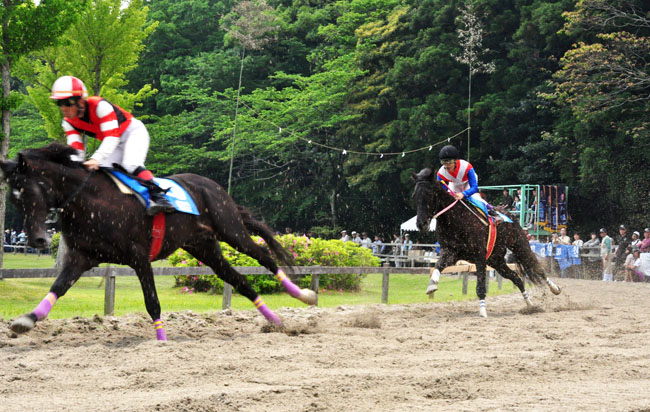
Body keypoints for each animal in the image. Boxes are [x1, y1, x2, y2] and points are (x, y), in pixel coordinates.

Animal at [0, 143, 316, 340]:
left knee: (264, 255)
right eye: (14, 199)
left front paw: (161, 341)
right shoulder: (81, 258)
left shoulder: (139, 257)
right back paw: (278, 323)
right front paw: (27, 319)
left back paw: (304, 295)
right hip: (204, 246)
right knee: (240, 280)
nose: (37, 239)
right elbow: (57, 287)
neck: (91, 200)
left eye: (28, 192)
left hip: (230, 230)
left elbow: (152, 302)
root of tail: (213, 185)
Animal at [412, 168, 560, 317]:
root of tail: (511, 215)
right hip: (496, 260)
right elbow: (439, 265)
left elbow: (480, 285)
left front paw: (483, 311)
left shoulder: (479, 256)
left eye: (429, 194)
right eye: (415, 196)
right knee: (516, 277)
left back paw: (555, 289)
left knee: (536, 267)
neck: (456, 220)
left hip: (519, 245)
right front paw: (432, 285)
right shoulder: (451, 252)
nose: (421, 224)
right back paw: (530, 305)